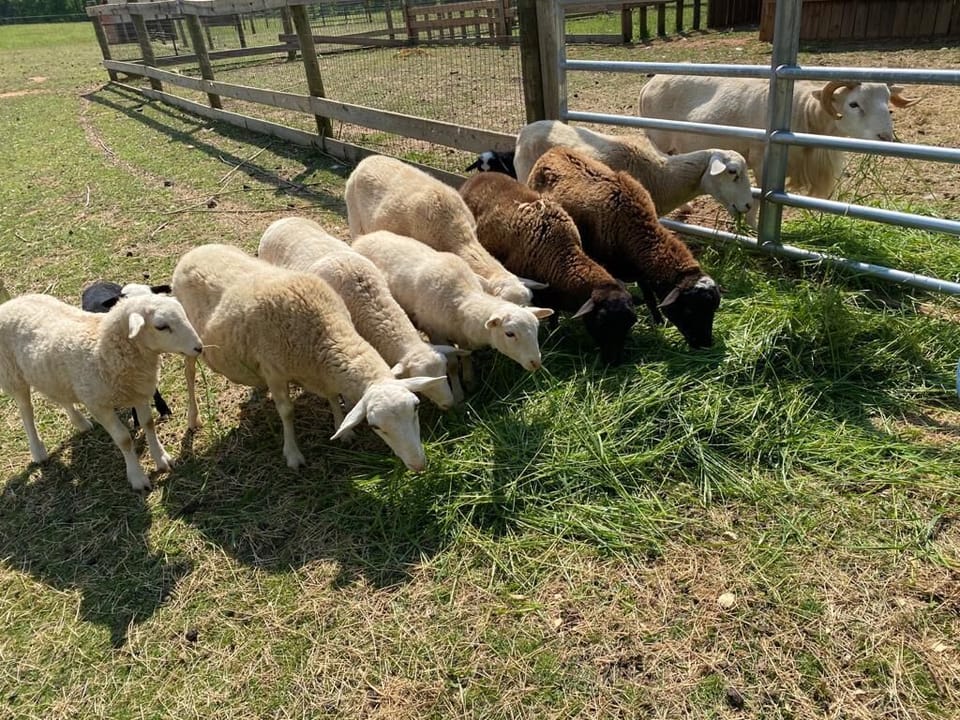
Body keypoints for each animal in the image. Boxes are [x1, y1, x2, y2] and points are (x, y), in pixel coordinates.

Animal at [171, 243, 447, 472]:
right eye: (376, 426)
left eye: (415, 408)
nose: (418, 465)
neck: (323, 330)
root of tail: (193, 253)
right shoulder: (274, 370)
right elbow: (287, 411)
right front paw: (293, 454)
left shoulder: (320, 371)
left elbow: (333, 397)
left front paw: (342, 429)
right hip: (190, 342)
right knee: (189, 373)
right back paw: (193, 417)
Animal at [351, 230, 554, 381]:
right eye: (510, 334)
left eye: (536, 329)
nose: (536, 363)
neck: (462, 303)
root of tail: (363, 238)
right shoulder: (436, 333)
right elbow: (453, 363)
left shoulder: (462, 336)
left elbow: (466, 355)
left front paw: (470, 381)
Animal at [459, 171, 638, 364]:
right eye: (601, 320)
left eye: (631, 322)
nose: (614, 362)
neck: (561, 255)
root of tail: (480, 175)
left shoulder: (553, 295)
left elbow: (553, 315)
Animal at [528, 147, 720, 349]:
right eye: (689, 310)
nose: (705, 345)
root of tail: (554, 151)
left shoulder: (640, 272)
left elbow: (650, 297)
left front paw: (659, 322)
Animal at [637, 76, 919, 203]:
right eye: (854, 104)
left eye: (888, 104)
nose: (885, 137)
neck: (803, 111)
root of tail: (651, 82)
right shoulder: (762, 161)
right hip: (660, 142)